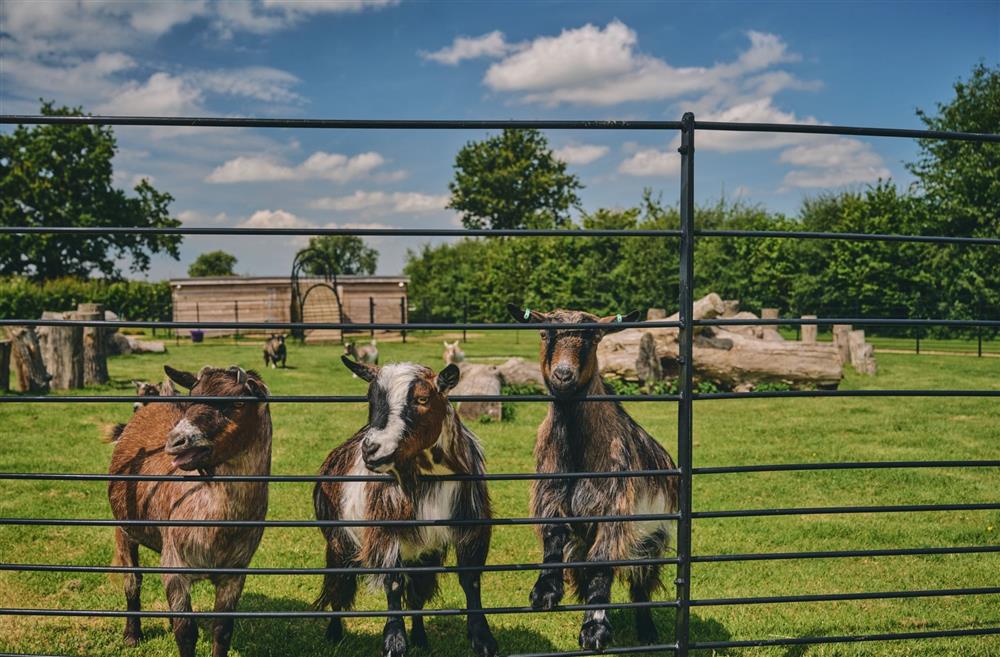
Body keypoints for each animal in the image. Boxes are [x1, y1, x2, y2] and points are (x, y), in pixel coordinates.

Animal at [108, 364, 270, 656]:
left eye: (238, 402)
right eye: (192, 396)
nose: (176, 441)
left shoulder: (235, 573)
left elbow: (222, 631)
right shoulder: (175, 566)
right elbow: (186, 632)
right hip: (124, 529)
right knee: (132, 580)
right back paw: (132, 635)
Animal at [314, 356, 498, 656]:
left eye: (422, 398)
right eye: (370, 398)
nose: (371, 449)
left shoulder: (471, 527)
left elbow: (470, 580)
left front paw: (483, 639)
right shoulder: (385, 532)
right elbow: (393, 583)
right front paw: (395, 641)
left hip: (421, 553)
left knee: (416, 595)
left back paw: (421, 638)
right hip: (338, 541)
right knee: (338, 586)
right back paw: (333, 633)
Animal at [508, 304, 680, 652]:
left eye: (593, 338)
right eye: (544, 333)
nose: (563, 374)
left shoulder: (614, 507)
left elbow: (602, 564)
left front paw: (595, 630)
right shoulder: (550, 494)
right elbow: (553, 537)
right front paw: (544, 592)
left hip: (652, 538)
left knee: (640, 583)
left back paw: (647, 631)